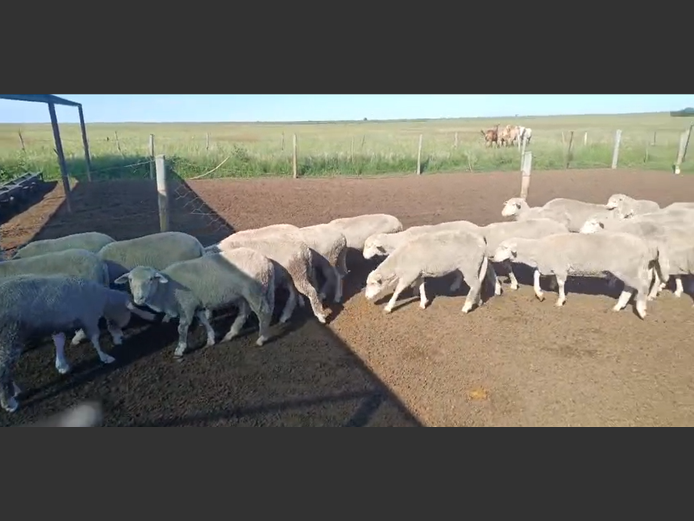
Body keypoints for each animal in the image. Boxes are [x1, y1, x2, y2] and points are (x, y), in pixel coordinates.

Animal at [0, 274, 136, 412]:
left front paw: (62, 365)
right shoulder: (89, 318)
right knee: (3, 368)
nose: (122, 335)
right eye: (128, 311)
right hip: (9, 335)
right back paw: (9, 403)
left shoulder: (58, 323)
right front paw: (105, 357)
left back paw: (14, 390)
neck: (101, 297)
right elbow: (95, 338)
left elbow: (60, 340)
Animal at [114, 248, 276, 358]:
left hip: (254, 291)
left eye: (151, 279)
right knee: (243, 313)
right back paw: (230, 334)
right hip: (244, 295)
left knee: (263, 313)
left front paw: (180, 350)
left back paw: (261, 338)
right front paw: (211, 340)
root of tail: (267, 262)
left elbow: (182, 328)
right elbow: (204, 321)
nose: (139, 299)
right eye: (130, 280)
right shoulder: (196, 304)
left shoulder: (187, 305)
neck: (167, 288)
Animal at [491, 232, 667, 319]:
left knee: (641, 287)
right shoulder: (548, 265)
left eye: (504, 247)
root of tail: (644, 246)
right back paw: (618, 307)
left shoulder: (560, 267)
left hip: (627, 269)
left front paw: (560, 301)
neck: (538, 249)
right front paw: (539, 294)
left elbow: (561, 284)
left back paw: (641, 310)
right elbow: (535, 275)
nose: (492, 257)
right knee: (630, 288)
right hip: (628, 270)